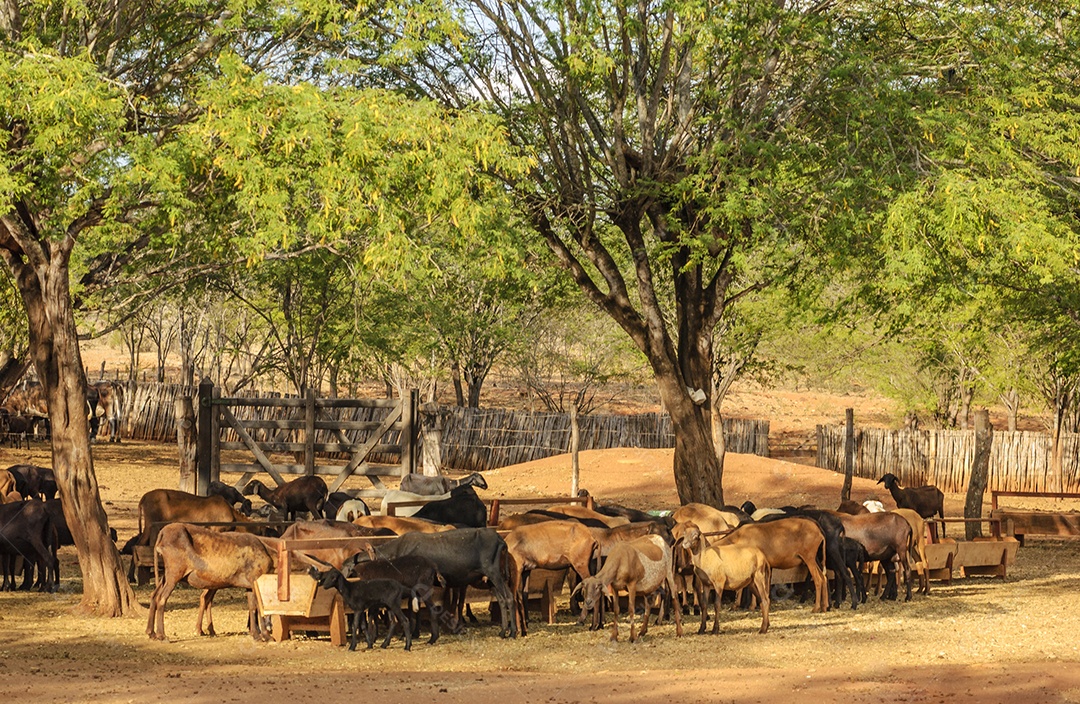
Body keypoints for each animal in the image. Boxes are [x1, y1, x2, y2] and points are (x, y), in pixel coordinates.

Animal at [145, 522, 276, 643]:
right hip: (175, 572)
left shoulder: (249, 585)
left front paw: (256, 635)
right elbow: (261, 607)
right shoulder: (256, 579)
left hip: (167, 575)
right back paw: (162, 636)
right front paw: (267, 636)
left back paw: (151, 633)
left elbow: (252, 607)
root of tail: (162, 534)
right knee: (162, 598)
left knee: (155, 595)